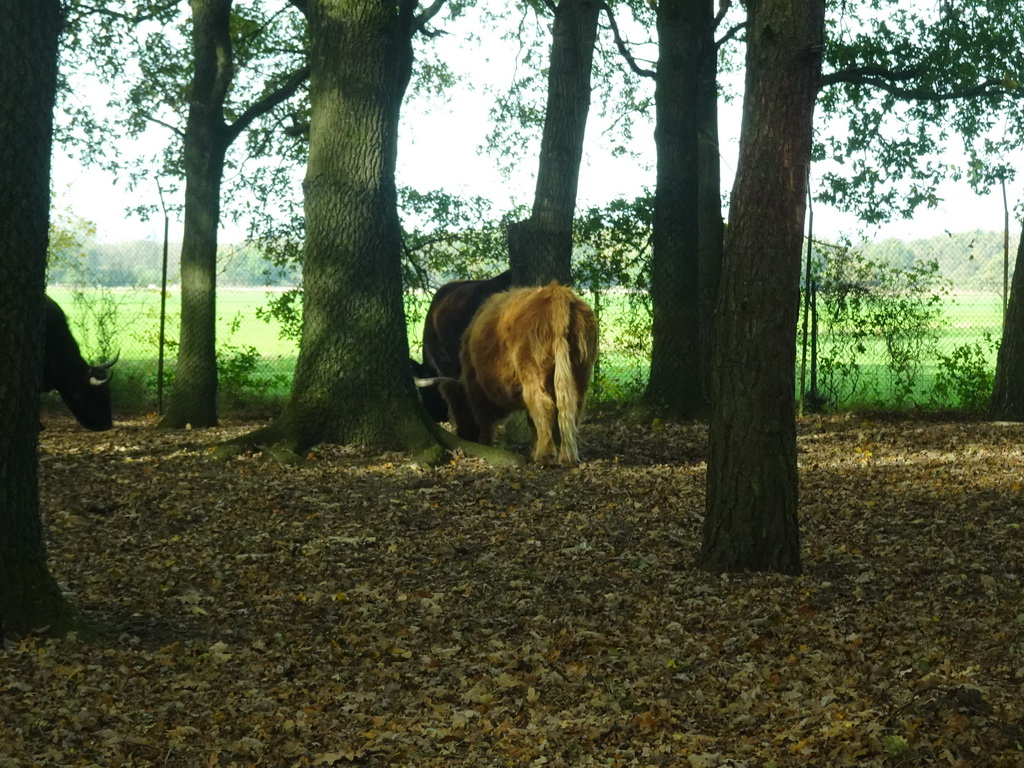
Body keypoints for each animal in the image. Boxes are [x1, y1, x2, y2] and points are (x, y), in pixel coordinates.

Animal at [448, 280, 598, 466]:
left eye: (457, 410)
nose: (461, 435)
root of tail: (556, 291)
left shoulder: (476, 389)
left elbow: (485, 420)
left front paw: (486, 444)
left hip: (532, 369)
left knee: (543, 404)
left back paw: (545, 455)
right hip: (581, 368)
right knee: (573, 405)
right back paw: (566, 455)